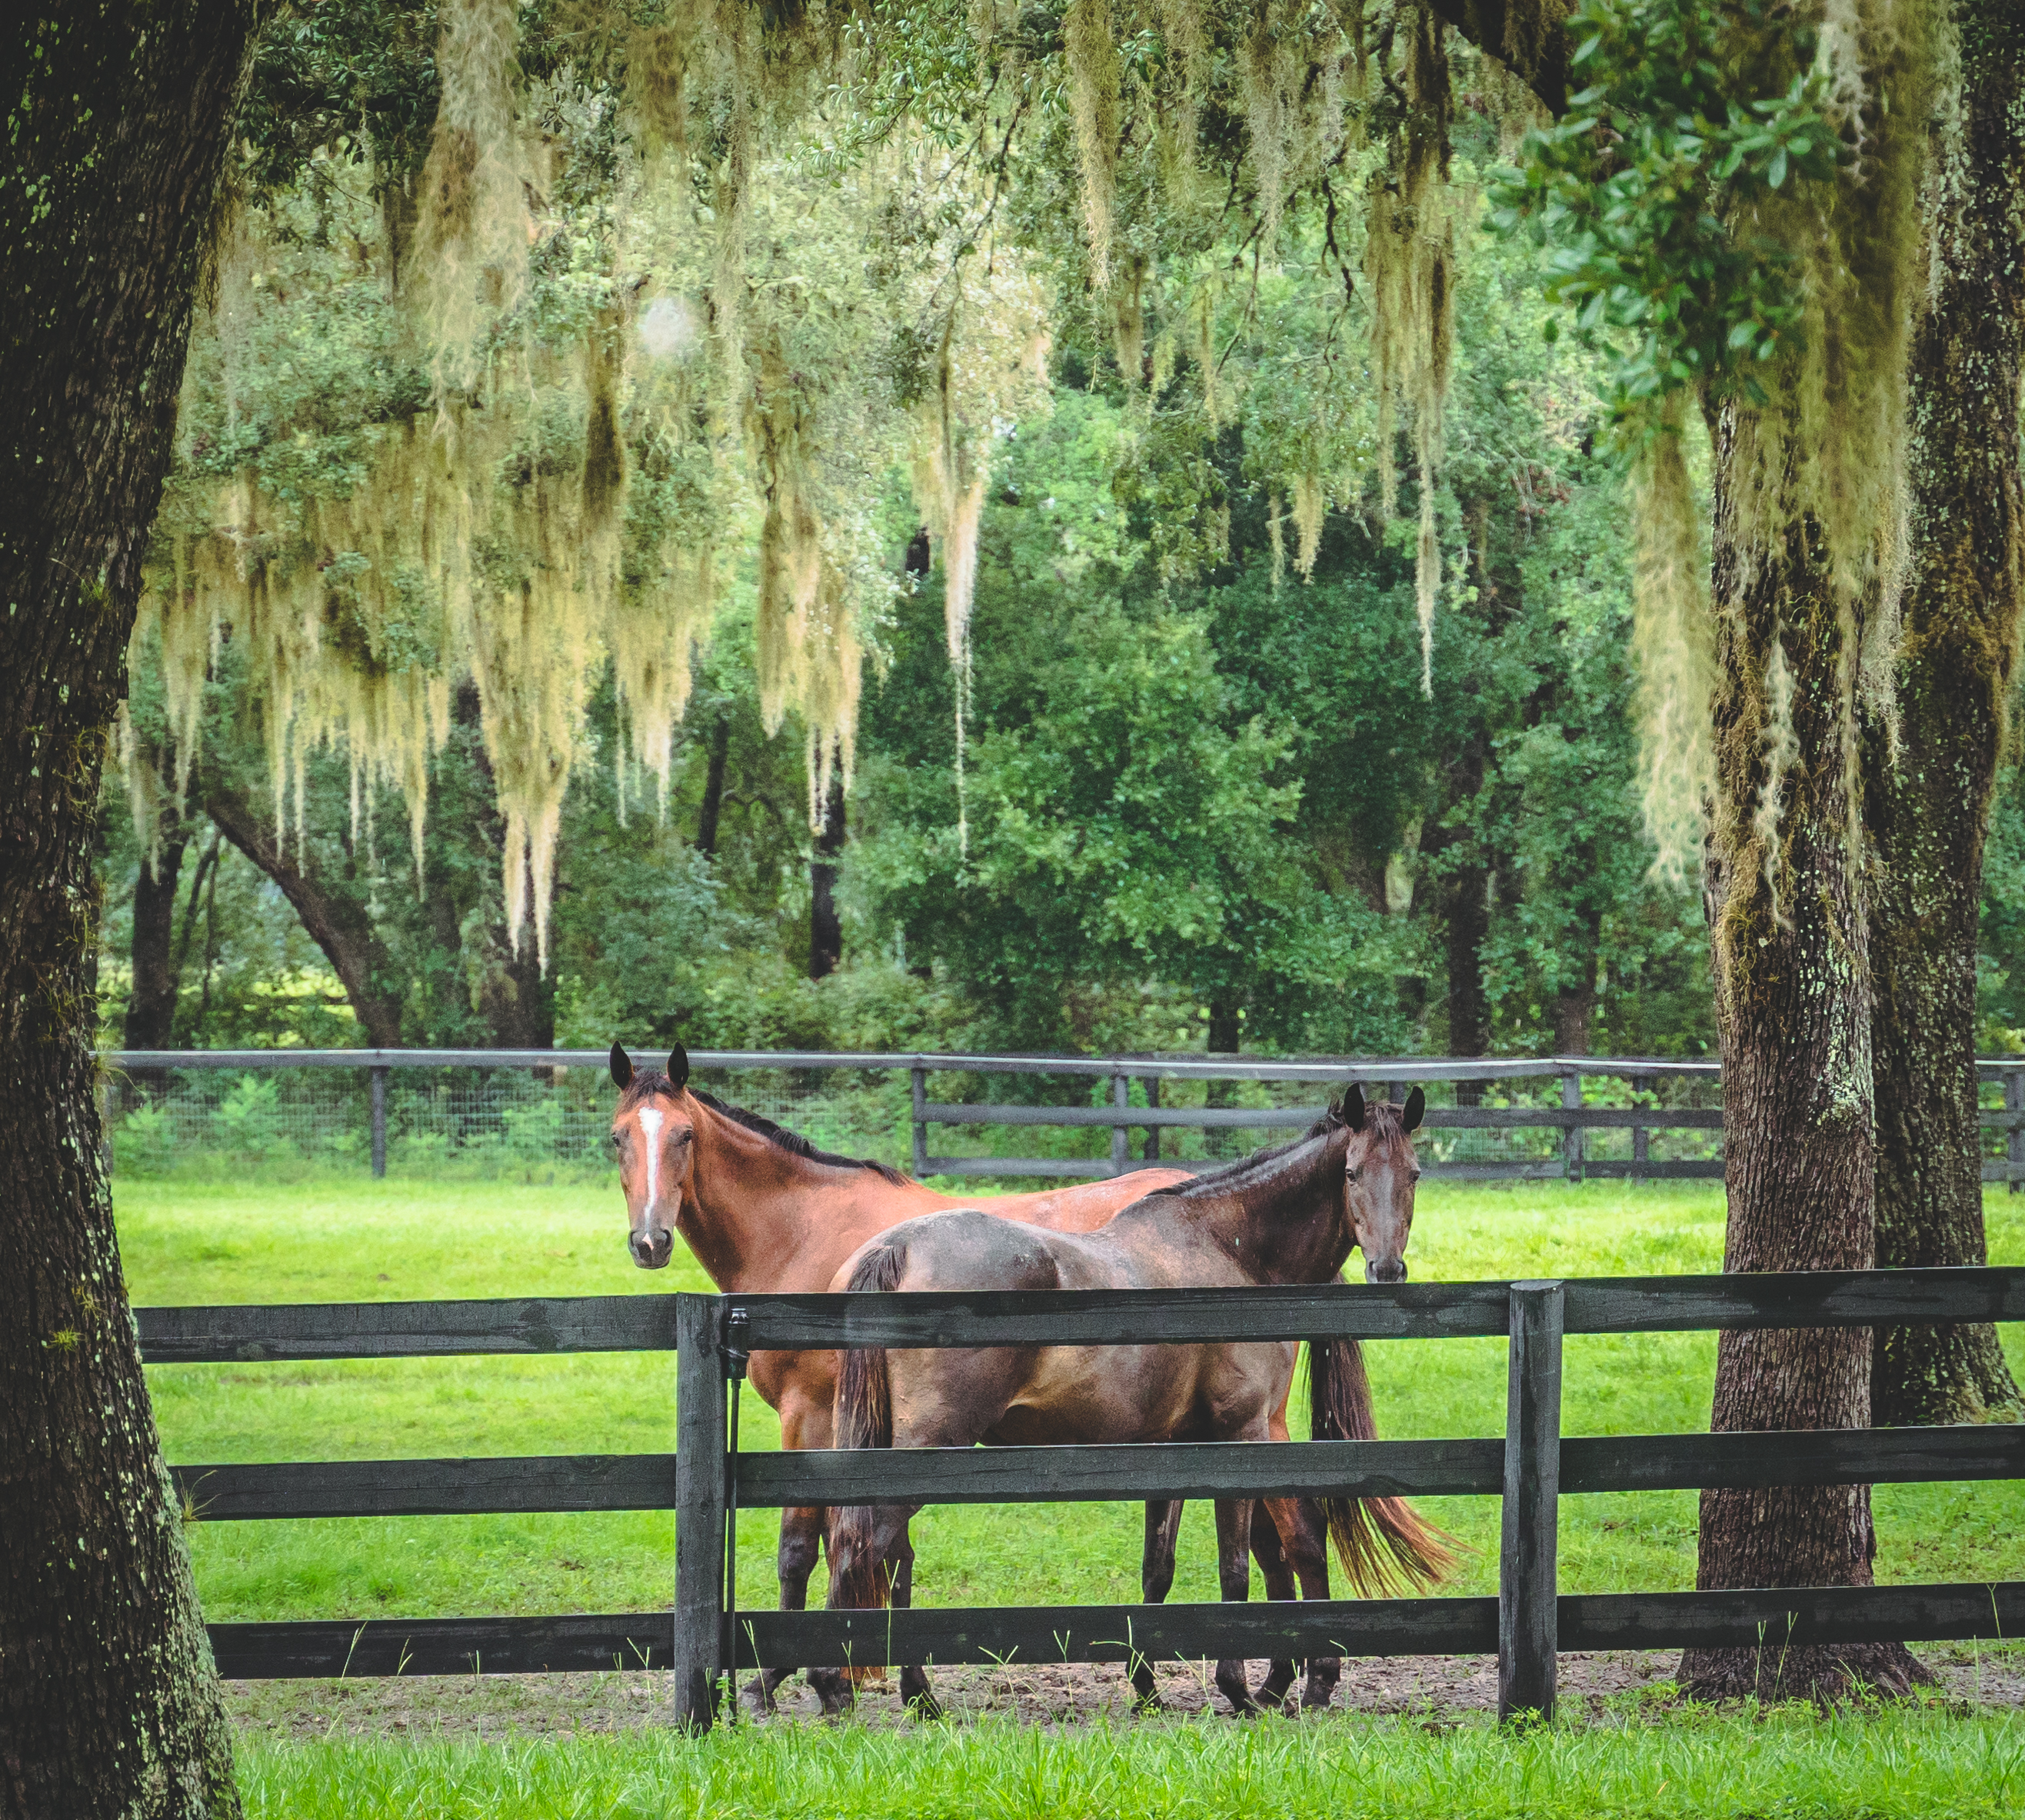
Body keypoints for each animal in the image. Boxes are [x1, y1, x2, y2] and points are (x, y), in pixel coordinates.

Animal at [814, 1085, 1450, 1716]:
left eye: (1414, 1174)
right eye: (1351, 1172)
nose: (1387, 1270)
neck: (1231, 1253)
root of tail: (897, 1247)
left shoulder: (1171, 1448)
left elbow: (1157, 1569)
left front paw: (1146, 1687)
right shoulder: (1238, 1437)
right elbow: (1235, 1567)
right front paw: (1236, 1689)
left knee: (878, 1547)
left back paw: (908, 1691)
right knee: (865, 1540)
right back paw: (848, 1683)